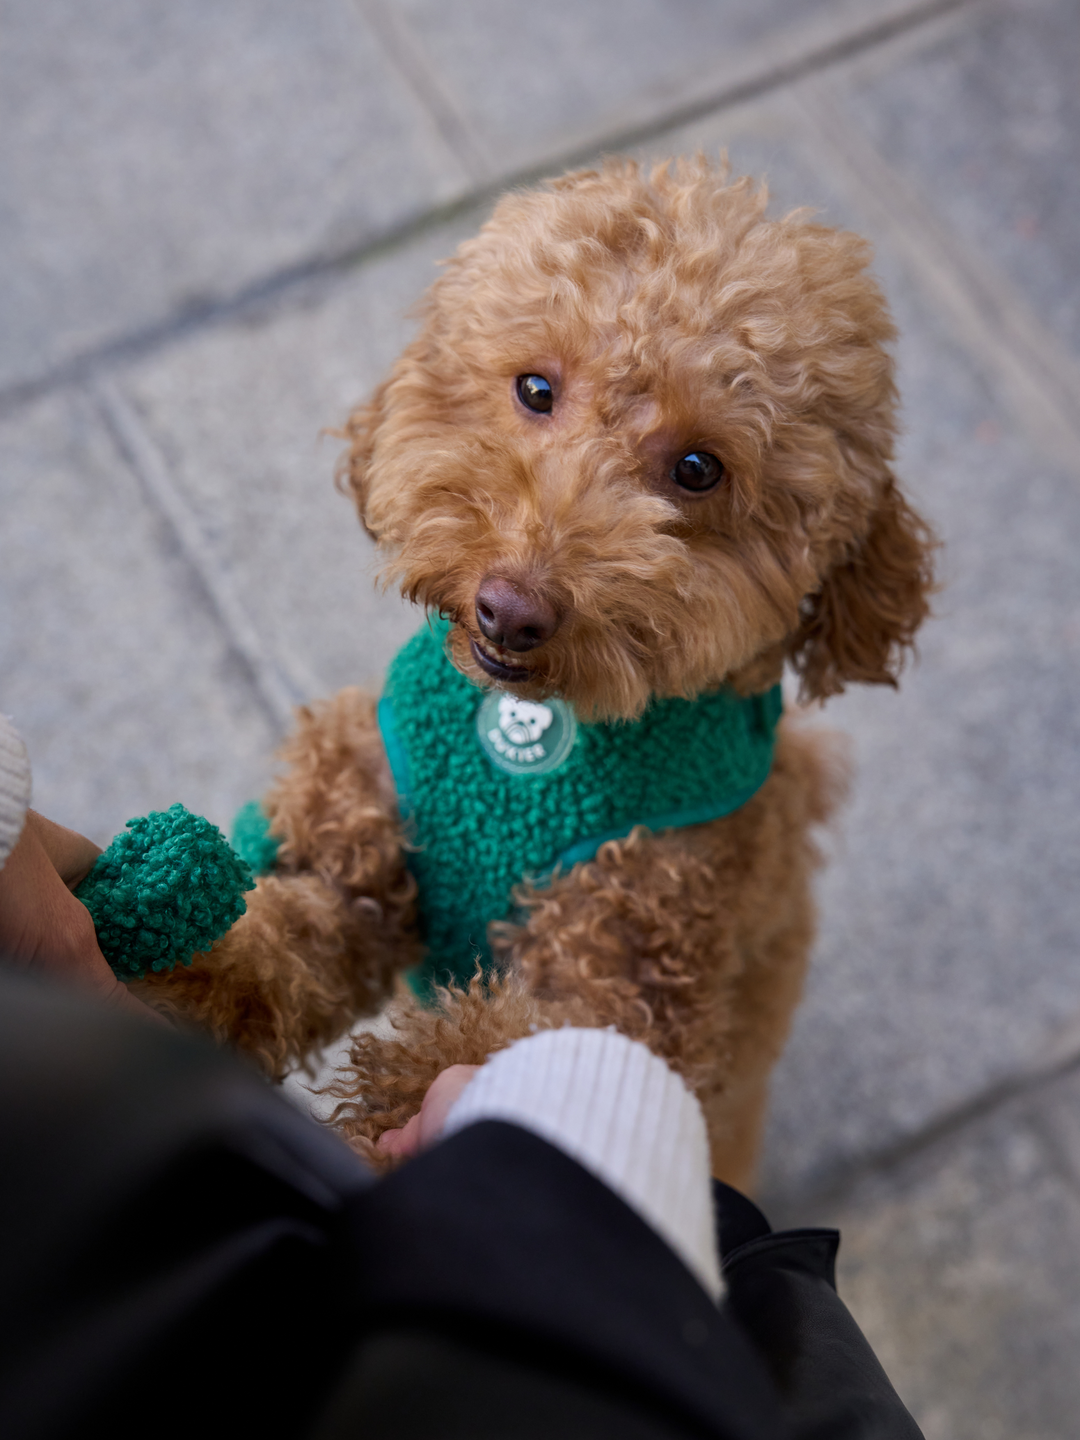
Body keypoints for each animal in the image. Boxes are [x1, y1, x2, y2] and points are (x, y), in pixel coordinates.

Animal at [137, 157, 938, 1192]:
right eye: (533, 386)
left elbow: (522, 1048)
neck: (528, 737)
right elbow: (288, 938)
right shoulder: (366, 850)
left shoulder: (630, 963)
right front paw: (174, 959)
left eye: (698, 467)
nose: (509, 609)